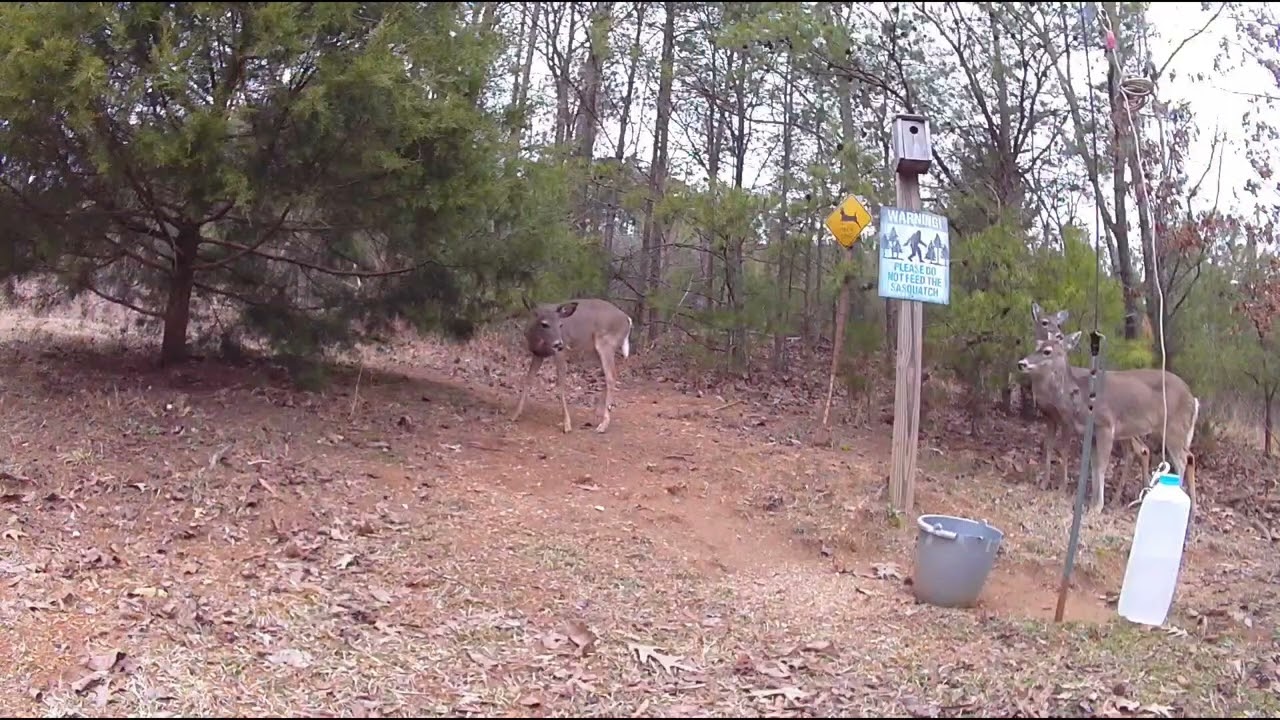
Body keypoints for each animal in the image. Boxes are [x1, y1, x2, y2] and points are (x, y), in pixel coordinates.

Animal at [509, 297, 634, 434]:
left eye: (560, 325)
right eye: (544, 324)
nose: (559, 344)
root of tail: (628, 319)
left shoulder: (561, 353)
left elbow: (561, 384)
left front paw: (567, 424)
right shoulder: (537, 354)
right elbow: (528, 380)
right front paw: (514, 415)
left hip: (606, 344)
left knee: (611, 376)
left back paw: (603, 425)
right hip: (596, 350)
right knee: (609, 376)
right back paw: (597, 413)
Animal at [1017, 330, 1200, 518]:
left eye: (1047, 351)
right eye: (1037, 345)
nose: (1021, 363)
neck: (1081, 395)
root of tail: (1193, 398)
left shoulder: (1105, 425)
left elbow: (1102, 466)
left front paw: (1097, 507)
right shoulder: (1092, 434)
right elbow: (1094, 466)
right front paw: (1092, 502)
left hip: (1174, 428)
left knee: (1181, 460)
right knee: (1188, 456)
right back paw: (1192, 510)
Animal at [1030, 303, 1152, 501]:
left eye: (1059, 324)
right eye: (1044, 322)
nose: (1058, 335)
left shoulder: (1067, 419)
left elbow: (1064, 451)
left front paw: (1062, 486)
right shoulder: (1049, 416)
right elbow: (1048, 447)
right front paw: (1044, 482)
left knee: (1141, 450)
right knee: (1136, 451)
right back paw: (1120, 496)